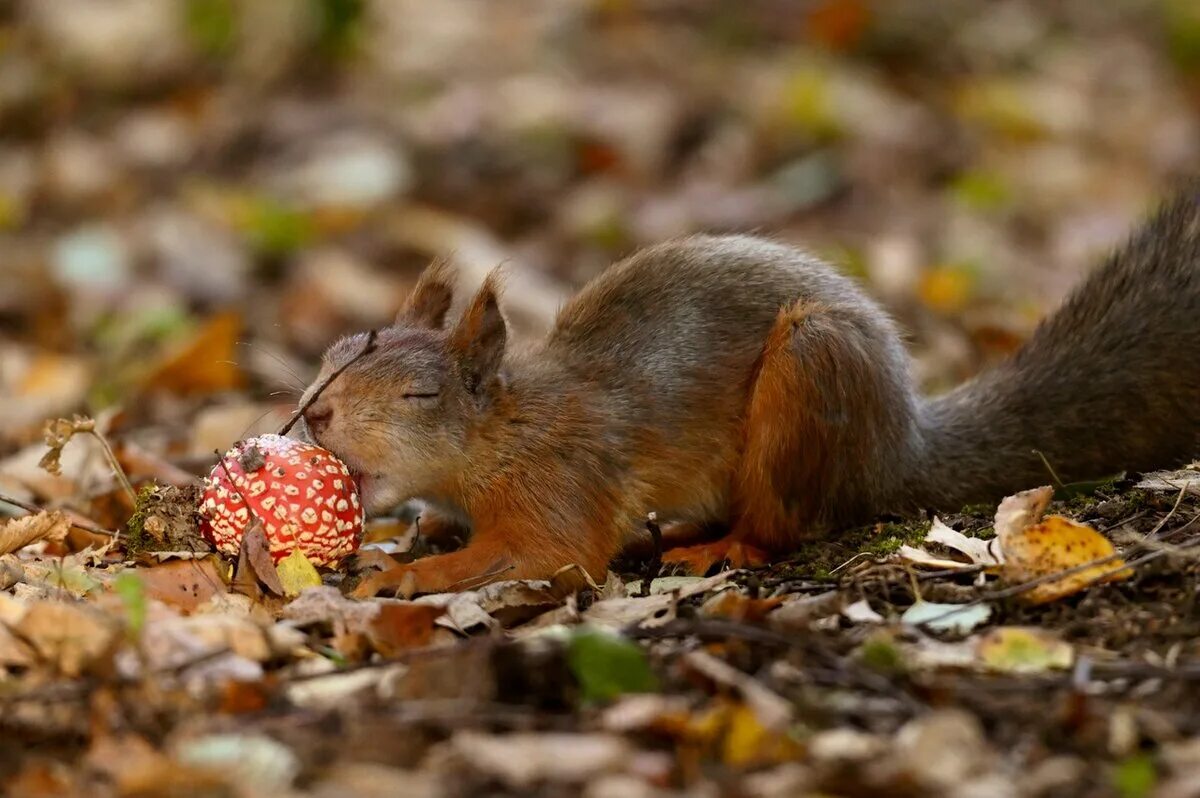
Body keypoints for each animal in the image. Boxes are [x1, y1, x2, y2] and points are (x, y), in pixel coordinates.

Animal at [300, 188, 1200, 597]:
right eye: (333, 353)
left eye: (420, 397)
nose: (315, 411)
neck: (510, 429)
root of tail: (902, 444)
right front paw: (394, 549)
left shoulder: (563, 482)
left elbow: (544, 554)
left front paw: (409, 576)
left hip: (810, 371)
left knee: (781, 526)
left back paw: (720, 547)